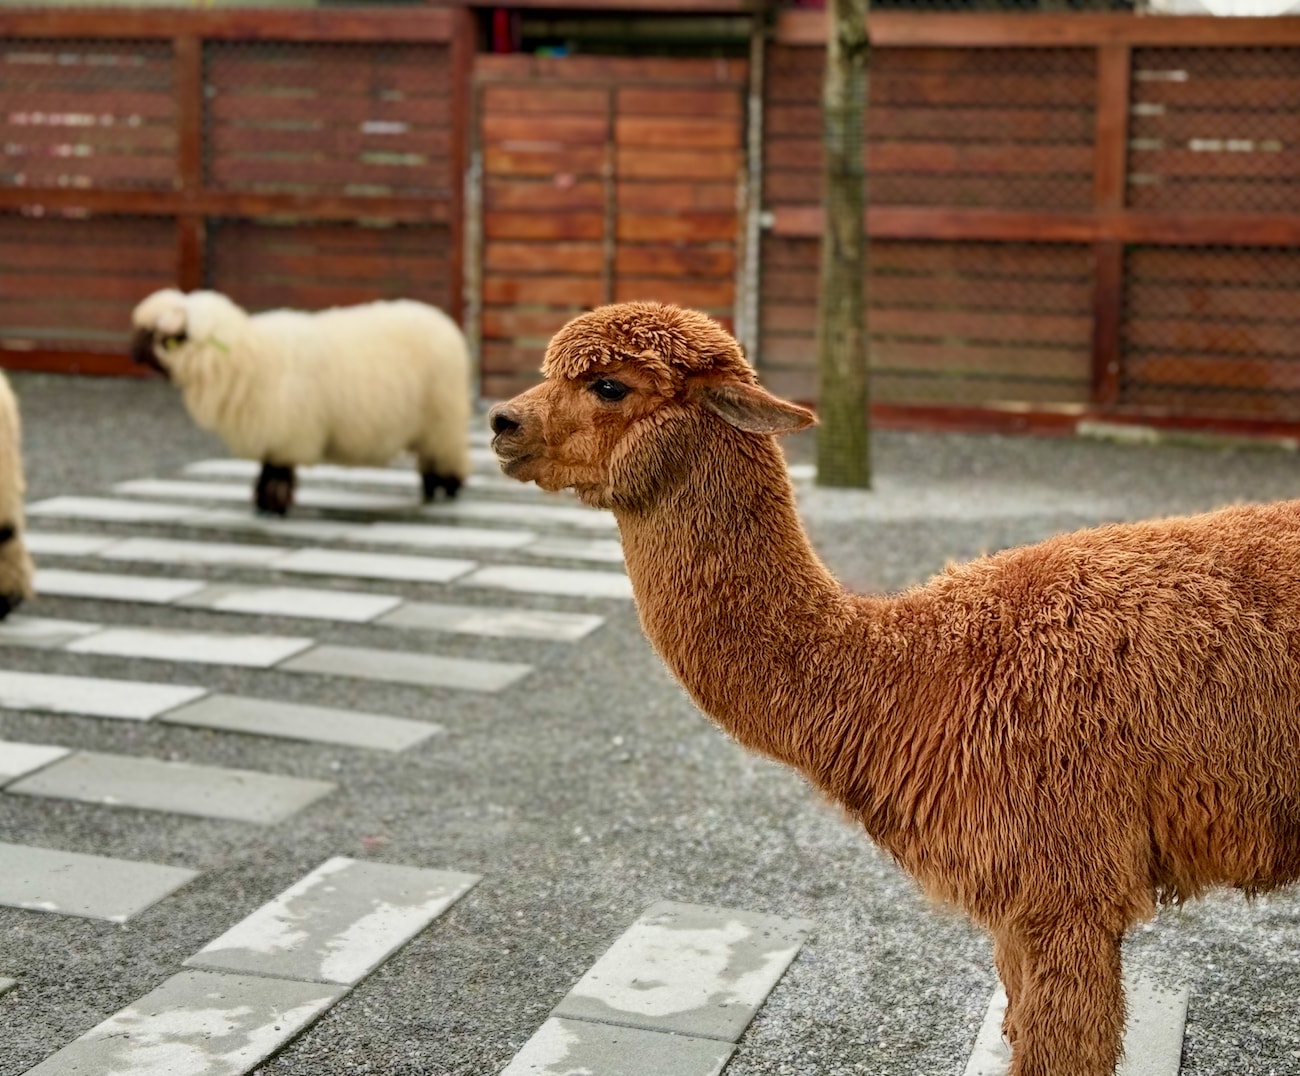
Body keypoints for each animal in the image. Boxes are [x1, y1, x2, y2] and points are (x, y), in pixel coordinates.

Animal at [126, 289, 470, 517]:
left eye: (151, 334)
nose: (130, 354)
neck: (245, 354)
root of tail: (443, 321)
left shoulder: (287, 434)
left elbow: (277, 475)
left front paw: (274, 506)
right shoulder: (273, 434)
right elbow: (266, 471)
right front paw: (262, 503)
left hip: (444, 417)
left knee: (445, 455)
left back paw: (448, 487)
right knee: (430, 457)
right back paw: (430, 488)